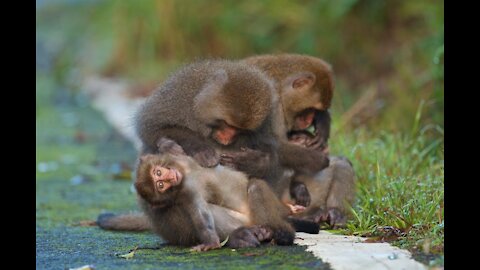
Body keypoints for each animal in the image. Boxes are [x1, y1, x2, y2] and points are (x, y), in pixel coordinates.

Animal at [244, 53, 356, 228]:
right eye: (309, 109)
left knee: (341, 163)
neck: (279, 86)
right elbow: (275, 146)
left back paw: (334, 212)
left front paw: (322, 124)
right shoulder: (273, 106)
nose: (310, 118)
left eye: (315, 110)